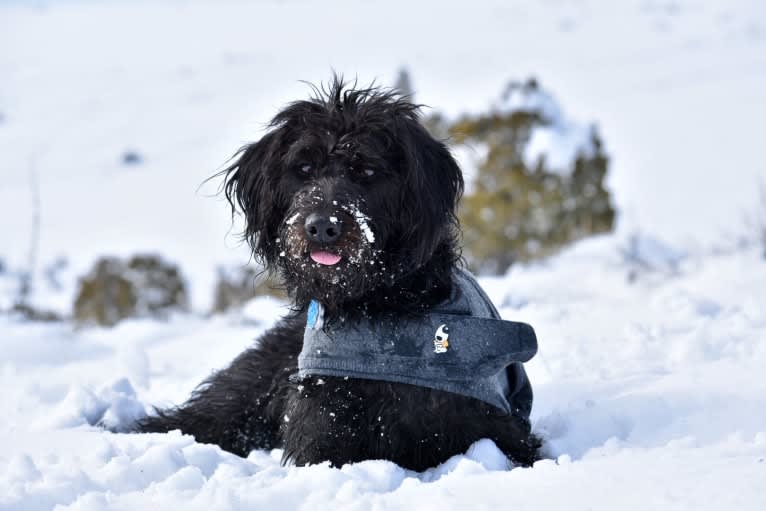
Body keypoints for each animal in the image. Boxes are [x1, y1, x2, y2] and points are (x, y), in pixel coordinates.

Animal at [138, 78, 544, 474]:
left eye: (366, 171)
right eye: (303, 169)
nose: (322, 227)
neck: (379, 308)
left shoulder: (494, 429)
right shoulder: (324, 423)